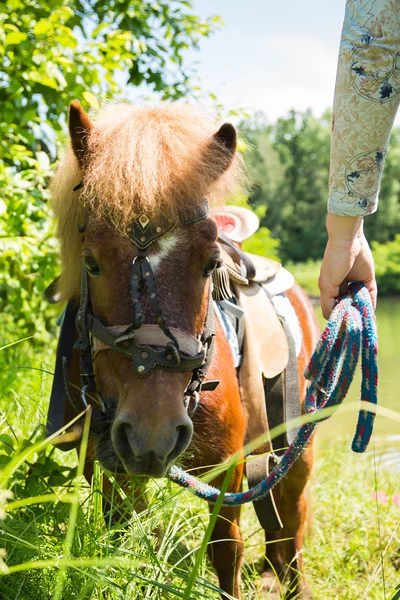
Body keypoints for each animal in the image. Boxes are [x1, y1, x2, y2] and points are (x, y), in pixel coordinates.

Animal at [49, 101, 318, 596]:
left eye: (210, 264)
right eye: (91, 262)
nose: (153, 433)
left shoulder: (229, 470)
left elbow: (226, 550)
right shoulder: (109, 463)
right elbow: (120, 537)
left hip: (297, 450)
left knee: (290, 524)